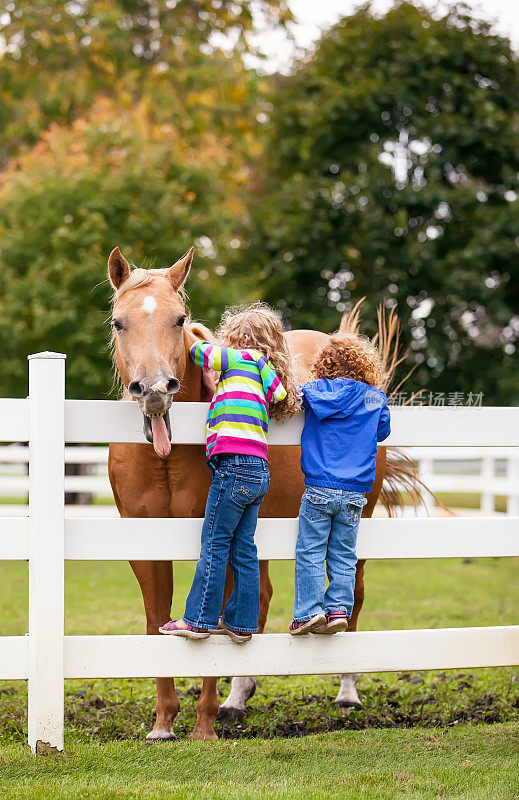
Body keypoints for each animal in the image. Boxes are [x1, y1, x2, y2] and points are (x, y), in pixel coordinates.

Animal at [107, 247, 420, 740]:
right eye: (120, 321)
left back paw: (347, 690)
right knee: (262, 599)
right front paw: (163, 722)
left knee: (353, 595)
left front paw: (203, 726)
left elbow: (215, 624)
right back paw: (238, 698)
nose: (155, 389)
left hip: (359, 523)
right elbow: (157, 623)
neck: (167, 452)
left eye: (179, 320)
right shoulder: (145, 546)